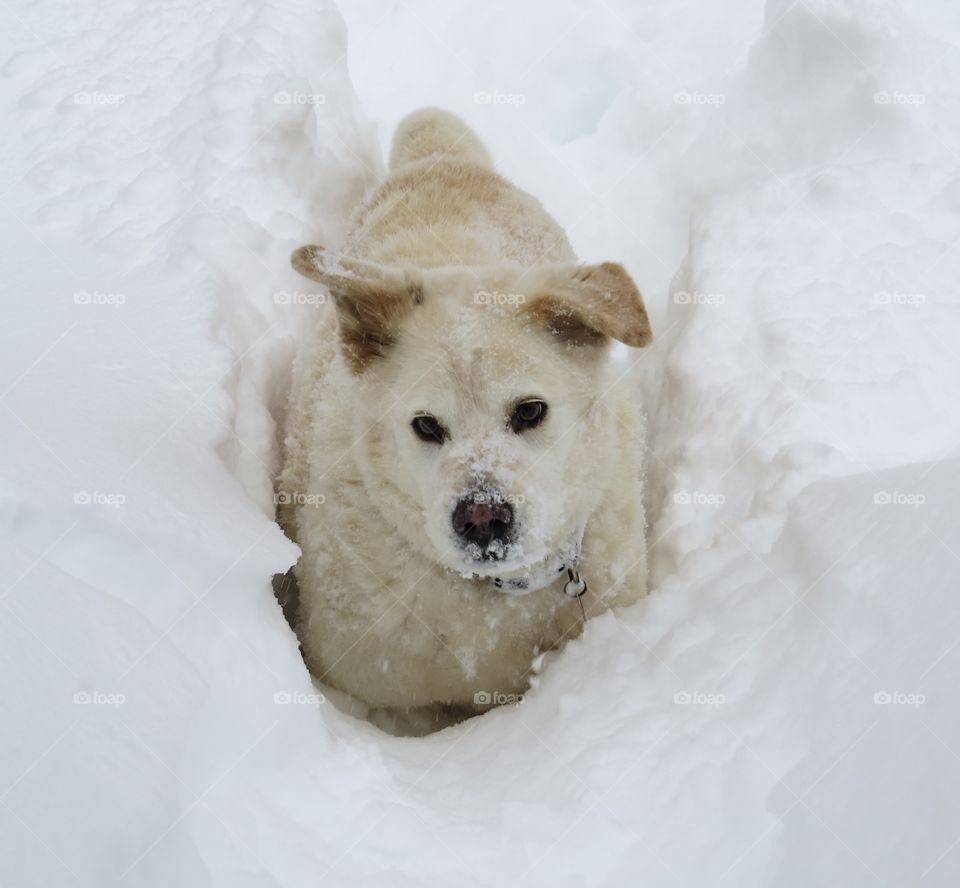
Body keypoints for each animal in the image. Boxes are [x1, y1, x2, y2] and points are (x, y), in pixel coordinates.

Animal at [278, 107, 652, 728]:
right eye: (427, 426)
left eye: (530, 411)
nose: (482, 517)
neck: (492, 597)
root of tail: (439, 160)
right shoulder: (376, 695)